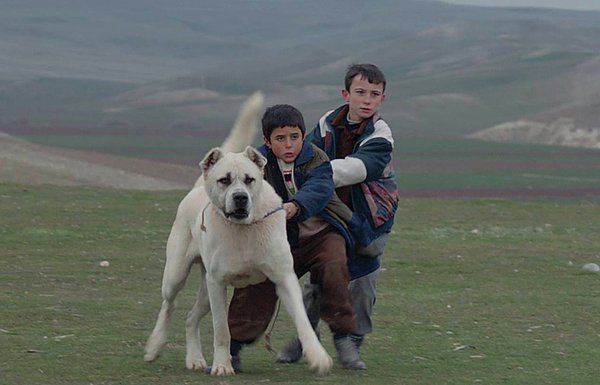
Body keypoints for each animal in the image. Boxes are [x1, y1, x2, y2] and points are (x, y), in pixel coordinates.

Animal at [144, 93, 332, 376]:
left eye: (249, 179)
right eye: (225, 180)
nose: (240, 197)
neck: (245, 229)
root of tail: (198, 187)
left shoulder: (284, 278)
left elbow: (303, 321)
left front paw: (318, 356)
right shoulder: (218, 283)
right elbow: (222, 330)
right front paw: (223, 366)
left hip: (204, 290)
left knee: (190, 317)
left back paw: (194, 359)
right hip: (178, 275)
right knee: (170, 305)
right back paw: (155, 347)